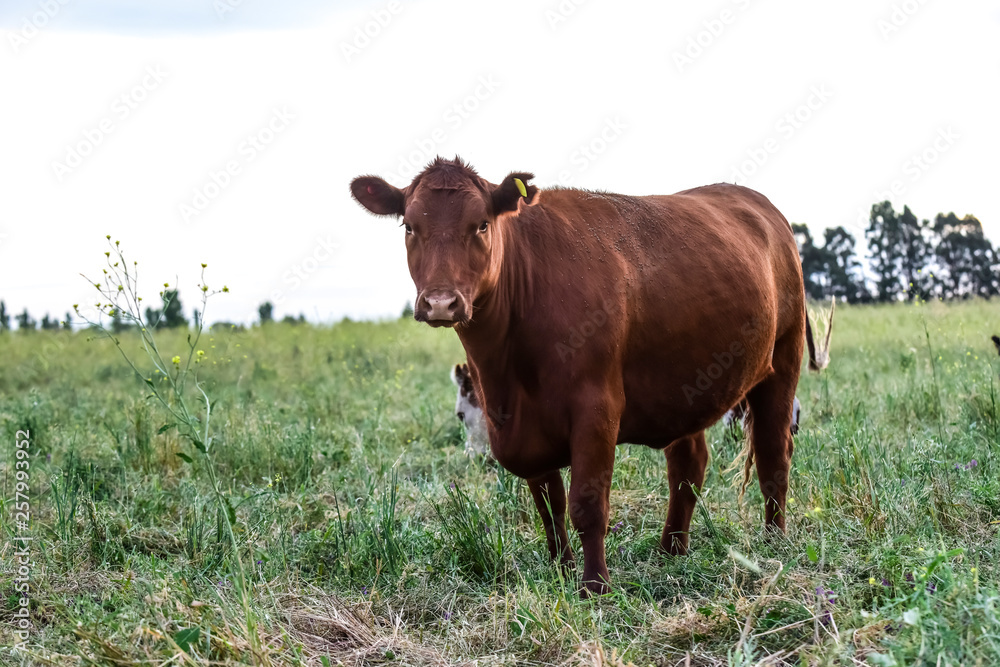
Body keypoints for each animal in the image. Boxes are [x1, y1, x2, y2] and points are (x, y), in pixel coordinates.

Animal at [356, 158, 824, 596]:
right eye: (410, 226)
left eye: (482, 224)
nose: (440, 302)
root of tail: (761, 205)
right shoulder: (525, 429)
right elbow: (549, 503)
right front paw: (560, 568)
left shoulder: (596, 409)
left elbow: (586, 503)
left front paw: (594, 585)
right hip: (685, 386)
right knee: (689, 464)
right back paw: (672, 548)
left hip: (782, 364)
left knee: (773, 455)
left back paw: (774, 540)